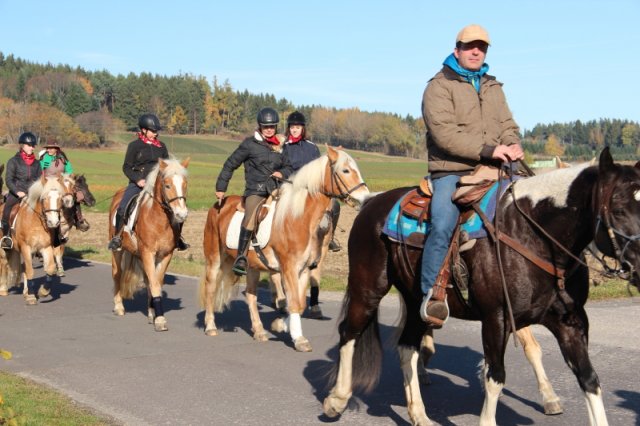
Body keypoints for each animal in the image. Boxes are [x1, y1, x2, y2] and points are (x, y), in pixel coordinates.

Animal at [1, 175, 66, 304]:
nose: (53, 222)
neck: (35, 221)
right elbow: (30, 271)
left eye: (60, 199)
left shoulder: (45, 247)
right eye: (44, 198)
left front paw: (43, 292)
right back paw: (3, 289)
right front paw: (31, 296)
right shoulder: (26, 247)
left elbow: (50, 269)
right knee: (4, 264)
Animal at [109, 158, 189, 332]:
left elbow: (156, 282)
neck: (159, 220)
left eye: (185, 184)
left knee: (146, 280)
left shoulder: (165, 255)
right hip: (118, 251)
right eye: (167, 185)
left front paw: (155, 314)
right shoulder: (148, 253)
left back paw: (150, 311)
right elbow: (154, 283)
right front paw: (160, 320)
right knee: (117, 274)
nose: (181, 214)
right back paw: (118, 306)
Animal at [200, 145, 370, 352]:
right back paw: (210, 326)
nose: (365, 197)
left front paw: (280, 324)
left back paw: (259, 330)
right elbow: (294, 302)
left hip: (252, 267)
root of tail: (218, 205)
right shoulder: (289, 268)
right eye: (345, 170)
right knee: (210, 288)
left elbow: (300, 303)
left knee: (250, 295)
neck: (299, 218)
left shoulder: (304, 269)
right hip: (214, 259)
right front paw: (299, 339)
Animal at [324, 147, 640, 426]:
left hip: (416, 303)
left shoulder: (570, 322)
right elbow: (495, 376)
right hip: (368, 288)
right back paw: (336, 400)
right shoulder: (496, 318)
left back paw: (419, 414)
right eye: (619, 209)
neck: (533, 235)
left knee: (407, 347)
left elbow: (589, 379)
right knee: (349, 332)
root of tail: (371, 203)